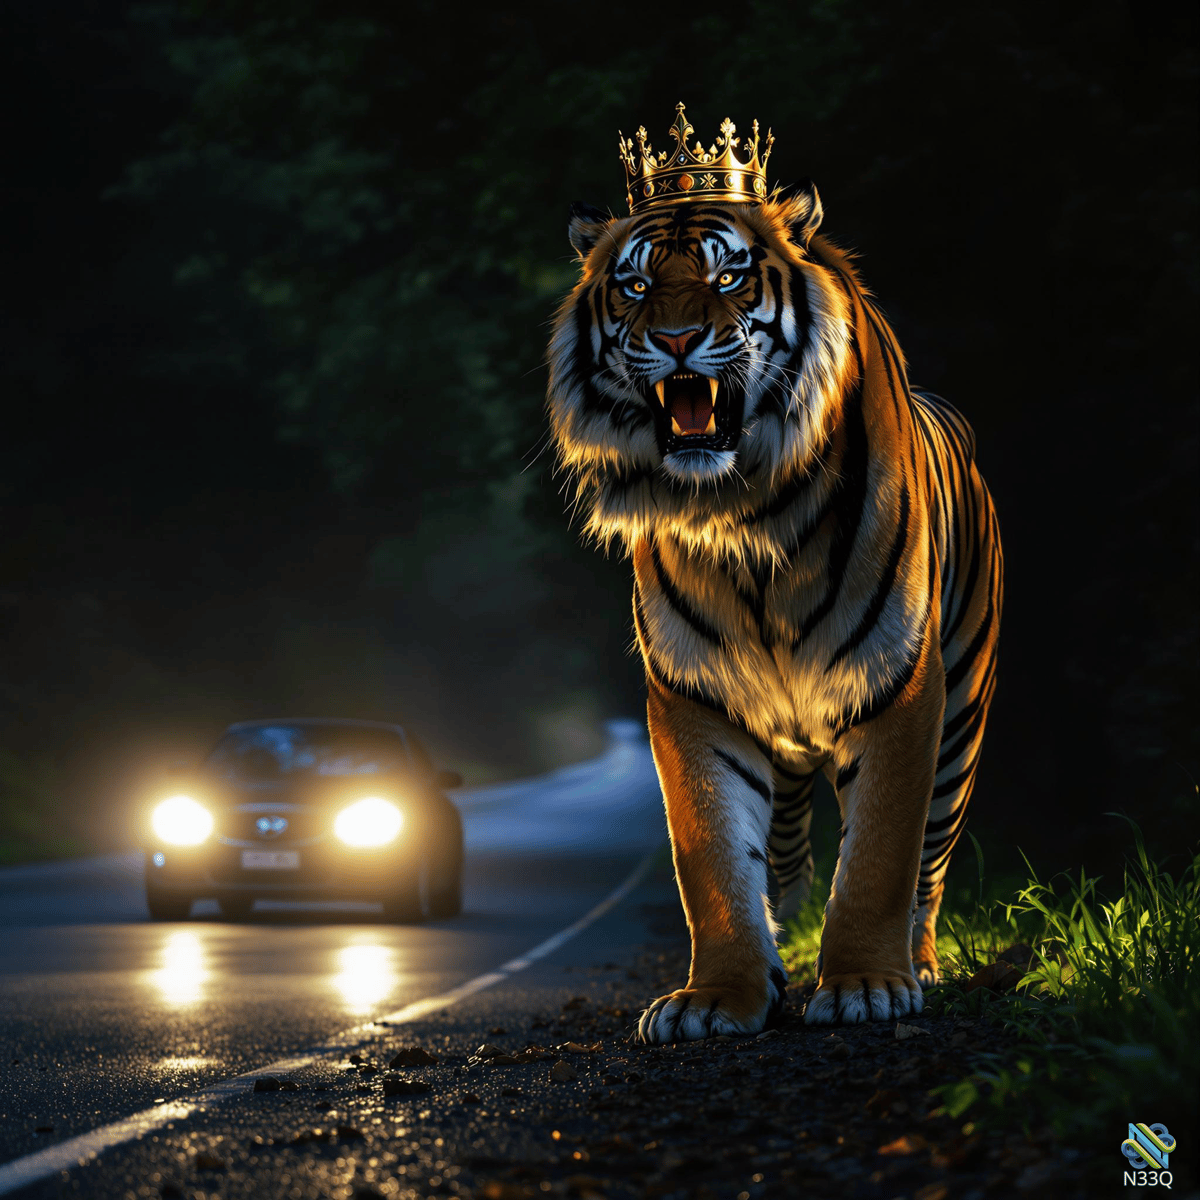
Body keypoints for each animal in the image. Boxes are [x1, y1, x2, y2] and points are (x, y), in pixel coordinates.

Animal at [545, 113, 1002, 1041]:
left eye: (727, 274)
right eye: (636, 288)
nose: (675, 340)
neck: (743, 511)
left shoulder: (901, 685)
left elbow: (880, 856)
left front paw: (865, 986)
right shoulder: (694, 696)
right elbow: (714, 860)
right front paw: (717, 998)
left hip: (962, 718)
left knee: (930, 863)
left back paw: (919, 964)